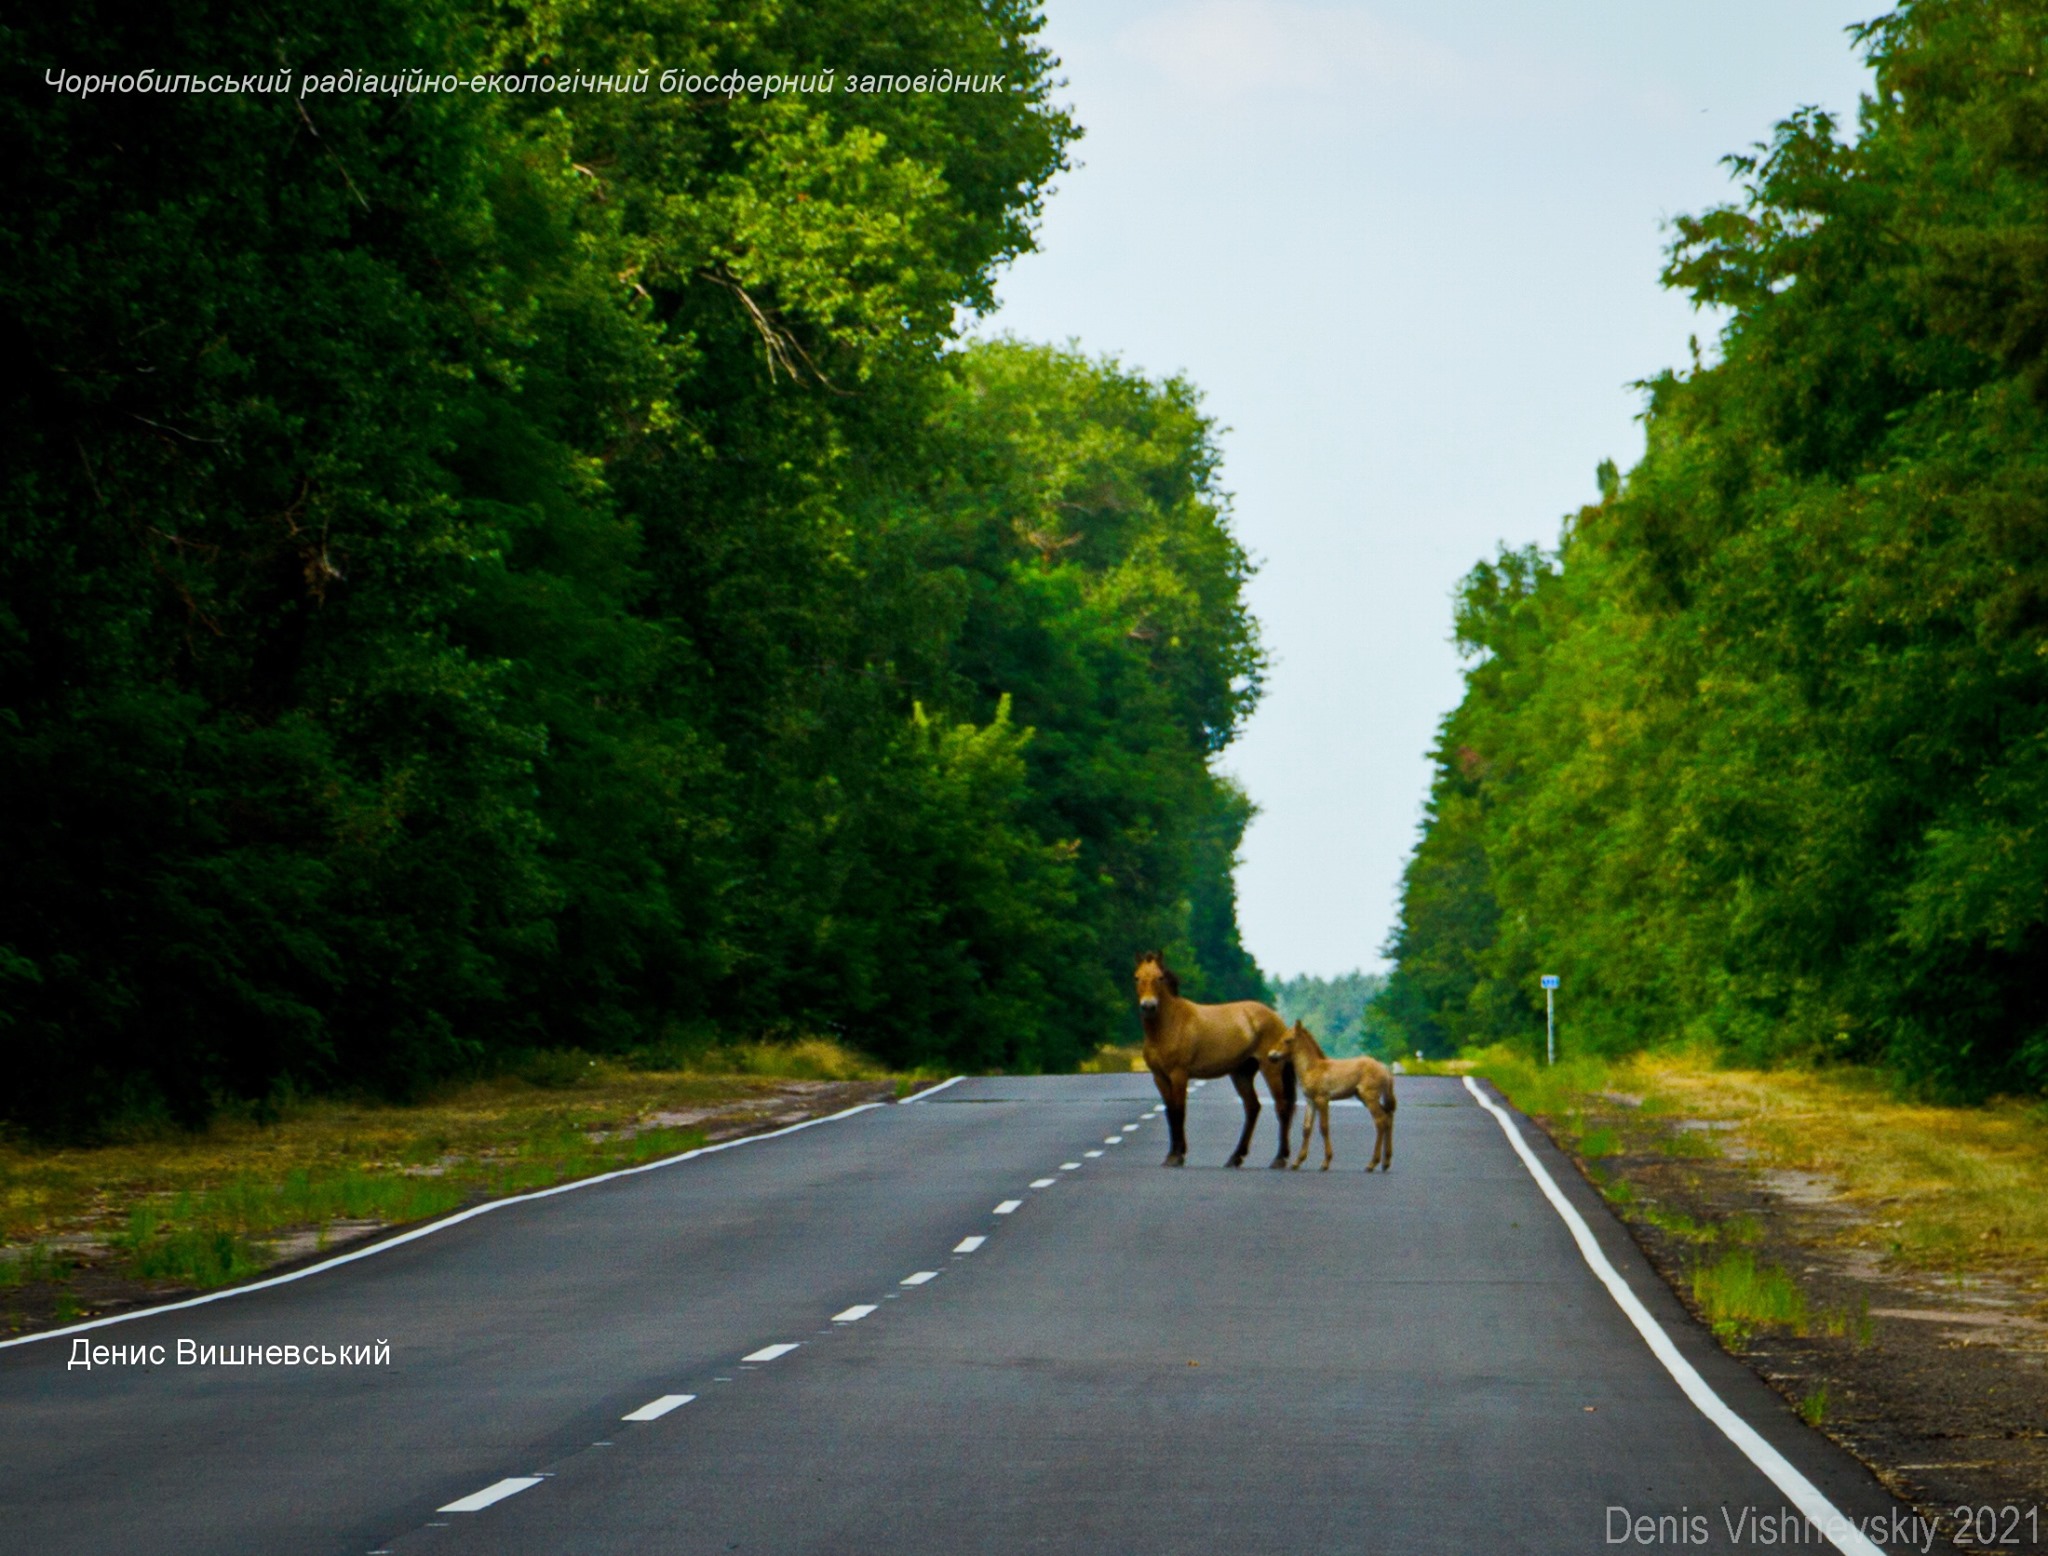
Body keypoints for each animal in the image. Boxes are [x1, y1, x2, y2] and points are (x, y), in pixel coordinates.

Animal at [1138, 949, 1294, 1162]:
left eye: (1159, 978)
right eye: (1137, 977)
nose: (1148, 1006)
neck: (1169, 1026)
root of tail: (1278, 1020)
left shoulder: (1179, 1074)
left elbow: (1179, 1111)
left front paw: (1177, 1156)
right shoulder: (1159, 1077)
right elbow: (1170, 1112)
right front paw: (1172, 1154)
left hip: (1271, 1069)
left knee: (1282, 1107)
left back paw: (1279, 1158)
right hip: (1242, 1073)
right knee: (1252, 1107)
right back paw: (1235, 1157)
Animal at [1253, 1019, 1400, 1162]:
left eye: (1288, 1040)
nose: (1271, 1055)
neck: (1312, 1068)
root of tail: (1385, 1070)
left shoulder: (1322, 1099)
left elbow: (1324, 1127)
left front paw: (1326, 1162)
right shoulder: (1310, 1101)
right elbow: (1306, 1128)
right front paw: (1297, 1162)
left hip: (1369, 1097)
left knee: (1380, 1121)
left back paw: (1373, 1163)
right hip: (1364, 1098)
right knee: (1388, 1117)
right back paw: (1386, 1162)